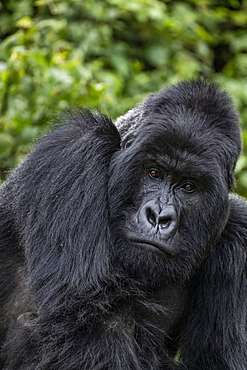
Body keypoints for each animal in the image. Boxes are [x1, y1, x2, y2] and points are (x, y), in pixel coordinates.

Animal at [0, 79, 247, 370]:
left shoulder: (240, 235)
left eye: (189, 187)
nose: (159, 217)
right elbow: (89, 331)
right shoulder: (75, 149)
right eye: (154, 173)